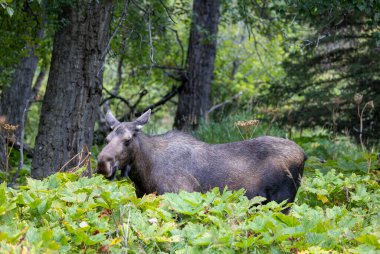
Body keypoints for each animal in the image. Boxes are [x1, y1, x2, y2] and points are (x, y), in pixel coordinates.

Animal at [96, 110, 308, 205]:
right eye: (107, 138)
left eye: (127, 140)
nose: (102, 164)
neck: (143, 175)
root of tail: (304, 155)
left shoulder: (180, 195)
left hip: (282, 201)